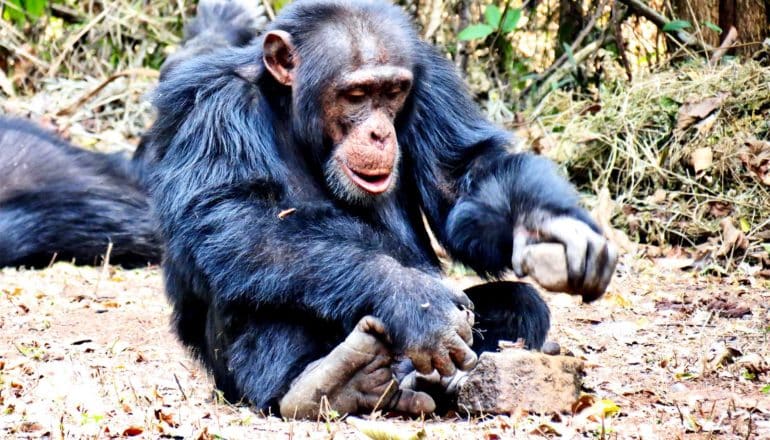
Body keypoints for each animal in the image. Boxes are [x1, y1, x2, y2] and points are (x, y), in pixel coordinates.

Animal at [136, 0, 616, 416]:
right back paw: (330, 383)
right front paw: (413, 301)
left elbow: (463, 176)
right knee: (255, 268)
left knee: (520, 304)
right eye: (356, 94)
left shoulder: (432, 87)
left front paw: (550, 229)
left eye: (393, 91)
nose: (380, 133)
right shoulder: (216, 107)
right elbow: (231, 213)